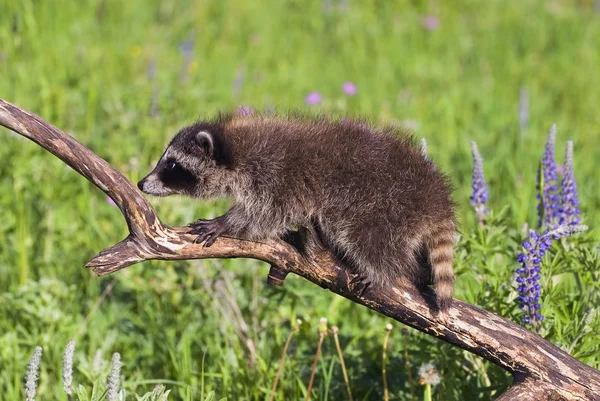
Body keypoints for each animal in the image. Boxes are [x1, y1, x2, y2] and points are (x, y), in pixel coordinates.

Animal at [138, 112, 458, 310]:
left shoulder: (278, 177)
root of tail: (436, 197)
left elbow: (267, 214)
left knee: (370, 240)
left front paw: (226, 222)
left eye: (172, 165)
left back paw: (386, 271)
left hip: (385, 207)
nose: (141, 183)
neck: (236, 149)